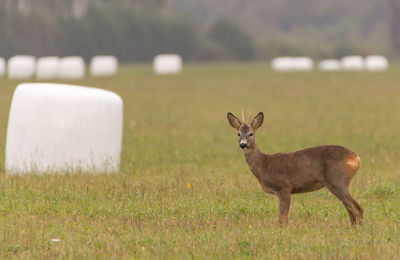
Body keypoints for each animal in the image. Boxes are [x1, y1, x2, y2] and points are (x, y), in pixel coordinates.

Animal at [227, 110, 364, 224]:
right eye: (238, 134)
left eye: (251, 134)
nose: (243, 145)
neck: (264, 164)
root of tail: (356, 158)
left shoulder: (285, 187)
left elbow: (283, 219)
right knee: (352, 211)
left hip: (337, 180)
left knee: (357, 209)